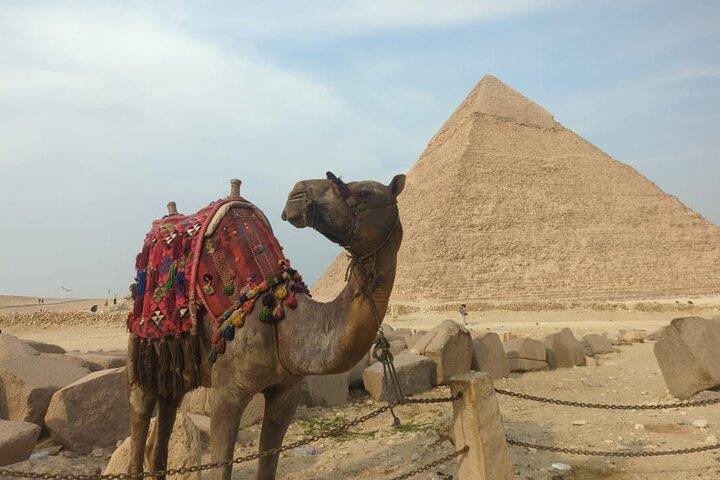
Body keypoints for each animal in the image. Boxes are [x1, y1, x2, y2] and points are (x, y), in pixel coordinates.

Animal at [127, 172, 405, 480]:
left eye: (365, 192)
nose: (298, 192)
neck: (280, 322)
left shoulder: (286, 393)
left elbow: (269, 458)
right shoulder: (226, 392)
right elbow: (222, 466)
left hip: (176, 365)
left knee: (167, 408)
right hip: (141, 347)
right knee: (140, 408)